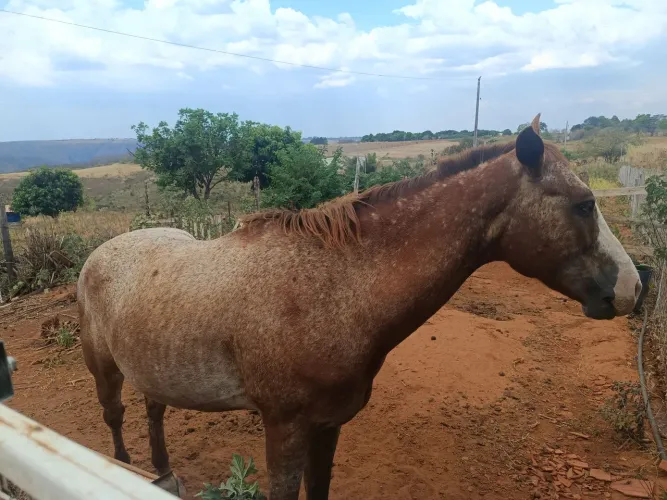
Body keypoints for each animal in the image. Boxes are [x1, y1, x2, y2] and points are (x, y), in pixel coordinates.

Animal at [78, 115, 641, 500]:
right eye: (585, 204)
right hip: (104, 369)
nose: (635, 287)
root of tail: (99, 255)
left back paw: (162, 473)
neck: (333, 290)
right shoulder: (284, 428)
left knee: (154, 411)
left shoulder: (327, 426)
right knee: (115, 416)